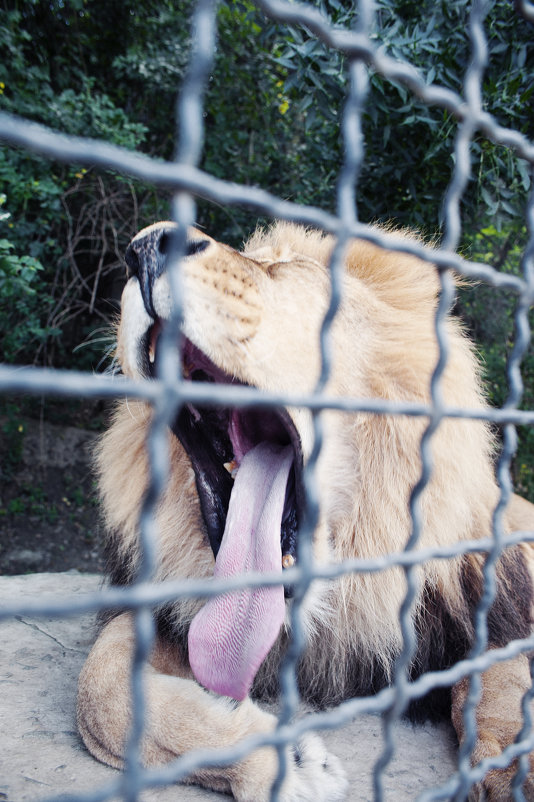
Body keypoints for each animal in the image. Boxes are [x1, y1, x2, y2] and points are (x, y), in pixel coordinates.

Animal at [77, 220, 534, 800]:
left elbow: (504, 676)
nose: (145, 247)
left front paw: (514, 768)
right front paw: (283, 762)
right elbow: (100, 692)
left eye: (285, 270)